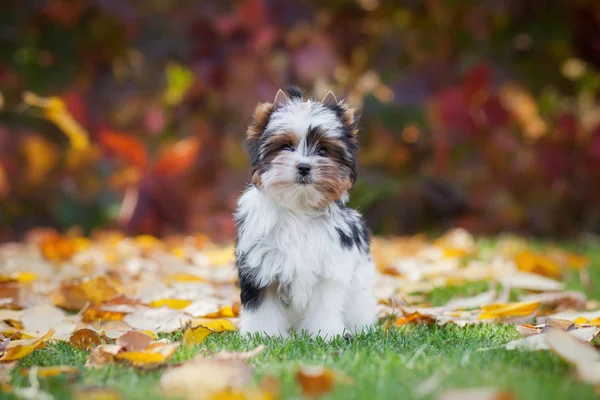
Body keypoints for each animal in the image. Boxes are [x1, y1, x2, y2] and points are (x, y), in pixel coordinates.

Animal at [234, 86, 376, 340]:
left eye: (323, 150)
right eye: (286, 147)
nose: (303, 167)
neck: (299, 209)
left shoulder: (330, 268)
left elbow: (324, 305)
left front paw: (326, 333)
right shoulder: (260, 266)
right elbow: (264, 307)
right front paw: (264, 335)